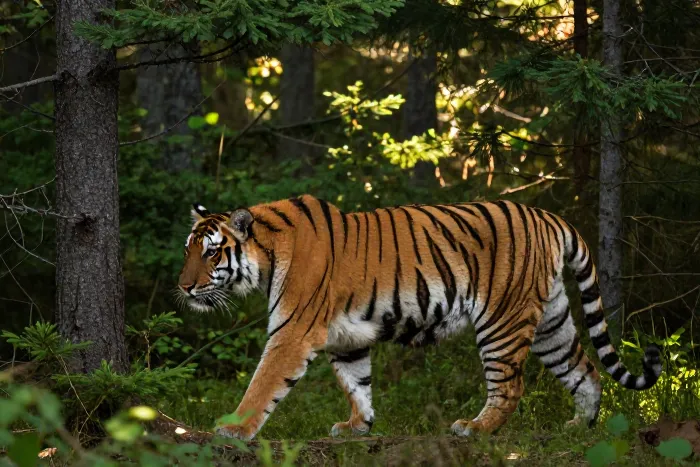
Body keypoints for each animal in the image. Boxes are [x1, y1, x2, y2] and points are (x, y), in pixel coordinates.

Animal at [177, 195, 662, 440]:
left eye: (212, 252)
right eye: (189, 250)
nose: (183, 287)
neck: (267, 257)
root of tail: (549, 217)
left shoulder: (292, 332)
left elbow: (263, 384)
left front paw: (233, 429)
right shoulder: (346, 336)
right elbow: (356, 383)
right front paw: (357, 426)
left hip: (502, 321)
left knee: (510, 386)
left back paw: (475, 428)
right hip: (551, 322)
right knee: (585, 370)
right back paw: (582, 426)